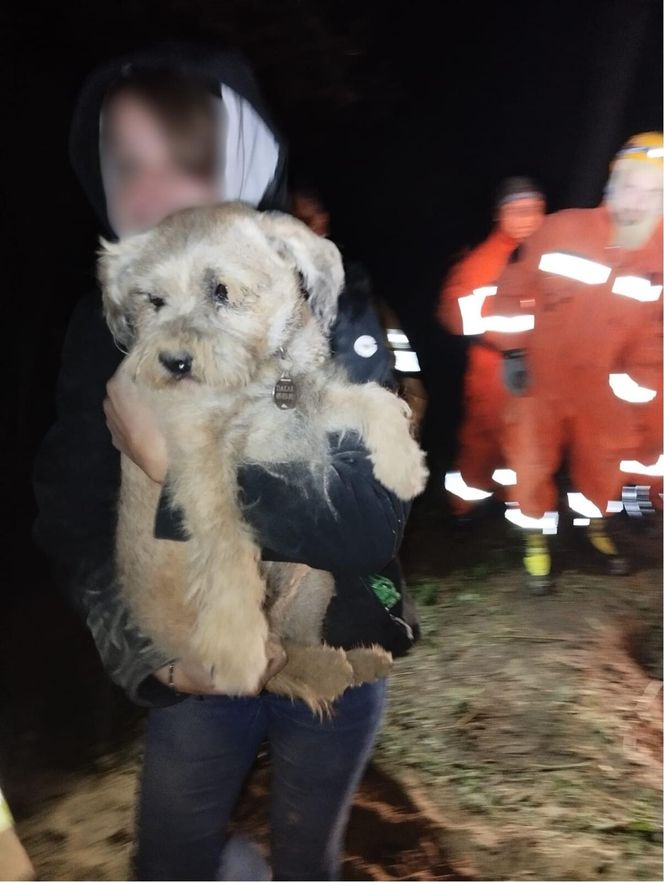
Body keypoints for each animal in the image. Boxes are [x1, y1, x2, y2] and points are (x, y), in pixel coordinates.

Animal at [99, 203, 430, 712]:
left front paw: (404, 464)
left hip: (316, 580)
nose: (173, 363)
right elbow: (225, 546)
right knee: (279, 666)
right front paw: (237, 646)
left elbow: (371, 397)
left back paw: (353, 662)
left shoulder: (307, 399)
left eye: (221, 290)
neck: (260, 379)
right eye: (153, 299)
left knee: (296, 653)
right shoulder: (200, 455)